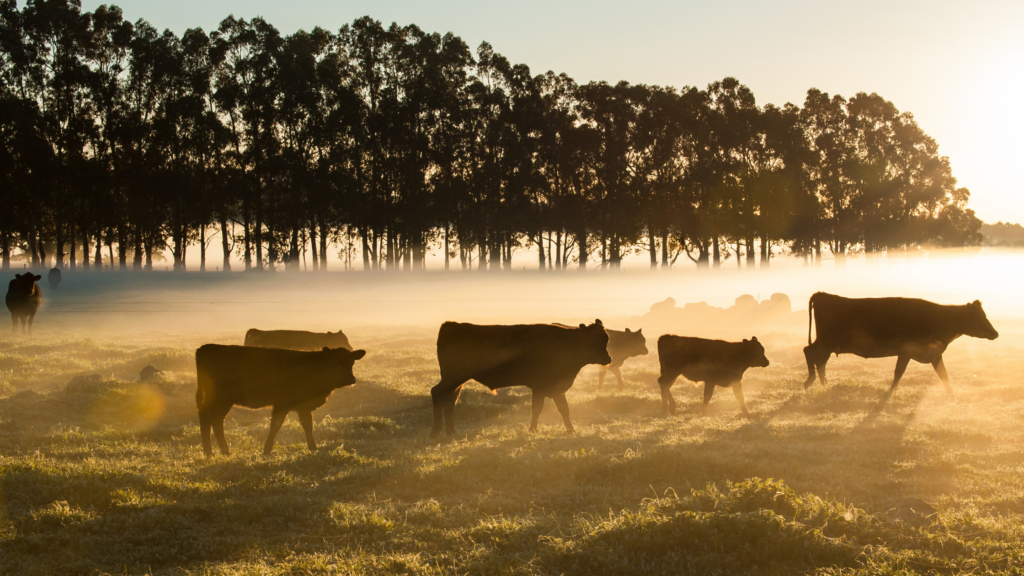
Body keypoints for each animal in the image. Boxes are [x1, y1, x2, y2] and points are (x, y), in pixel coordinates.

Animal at [193, 342, 366, 455]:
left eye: (352, 362)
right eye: (335, 362)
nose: (351, 379)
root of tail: (205, 348)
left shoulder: (303, 406)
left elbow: (308, 426)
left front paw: (313, 448)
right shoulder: (282, 404)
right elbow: (276, 425)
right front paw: (267, 450)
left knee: (211, 418)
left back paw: (215, 451)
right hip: (221, 398)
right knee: (211, 418)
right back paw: (218, 451)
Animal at [430, 317, 610, 434]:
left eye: (606, 339)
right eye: (593, 340)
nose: (608, 359)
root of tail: (451, 325)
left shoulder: (555, 389)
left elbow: (564, 409)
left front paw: (571, 431)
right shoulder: (540, 387)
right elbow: (537, 409)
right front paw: (533, 430)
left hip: (457, 380)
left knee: (450, 399)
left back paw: (452, 432)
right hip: (453, 378)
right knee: (437, 393)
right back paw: (437, 432)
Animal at [798, 289, 999, 397]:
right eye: (980, 317)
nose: (995, 333)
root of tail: (823, 295)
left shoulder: (931, 354)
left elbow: (943, 374)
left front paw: (951, 395)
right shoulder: (908, 351)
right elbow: (900, 373)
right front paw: (890, 393)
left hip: (828, 344)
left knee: (820, 360)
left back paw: (824, 384)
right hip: (826, 341)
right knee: (809, 351)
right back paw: (810, 381)